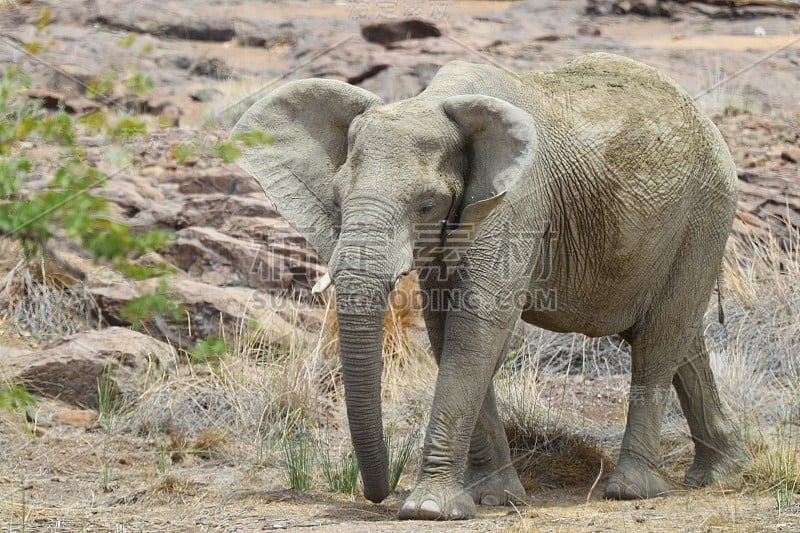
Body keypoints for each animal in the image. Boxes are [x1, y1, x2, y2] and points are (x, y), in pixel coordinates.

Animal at [231, 52, 752, 516]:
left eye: (426, 205)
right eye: (338, 200)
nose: (376, 495)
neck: (434, 101)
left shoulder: (517, 204)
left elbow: (477, 327)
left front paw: (429, 509)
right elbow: (446, 332)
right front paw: (495, 499)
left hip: (705, 212)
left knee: (658, 340)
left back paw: (633, 490)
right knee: (680, 337)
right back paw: (724, 472)